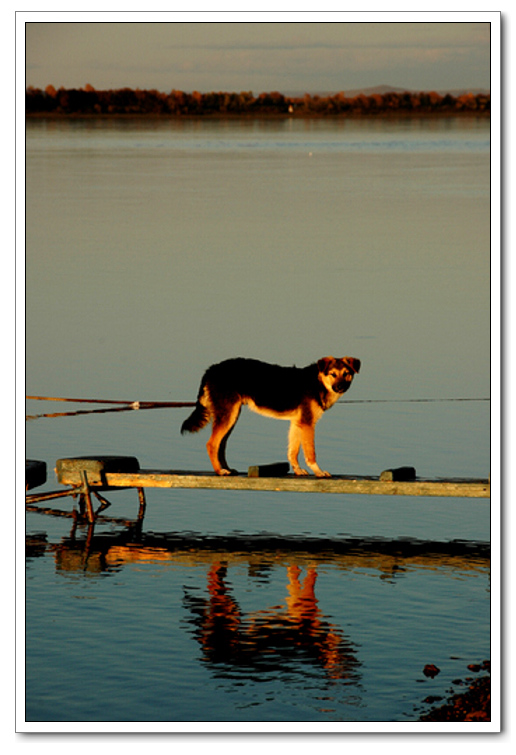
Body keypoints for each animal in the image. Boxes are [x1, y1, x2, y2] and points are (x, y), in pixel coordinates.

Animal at [183, 356, 360, 476]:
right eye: (333, 374)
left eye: (347, 374)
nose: (340, 387)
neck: (317, 382)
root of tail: (211, 369)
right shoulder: (308, 424)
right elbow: (310, 454)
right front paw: (319, 472)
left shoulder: (297, 422)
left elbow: (293, 451)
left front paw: (297, 470)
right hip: (228, 416)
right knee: (212, 444)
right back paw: (219, 471)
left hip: (231, 416)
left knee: (221, 445)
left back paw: (225, 468)